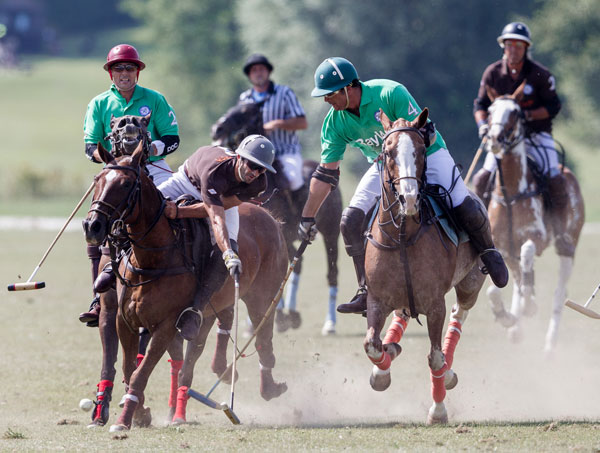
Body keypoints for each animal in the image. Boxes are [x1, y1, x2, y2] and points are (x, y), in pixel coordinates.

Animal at [83, 143, 290, 430]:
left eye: (125, 184)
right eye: (97, 180)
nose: (92, 226)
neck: (152, 257)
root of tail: (271, 218)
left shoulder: (166, 326)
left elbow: (140, 374)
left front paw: (124, 419)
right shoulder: (124, 321)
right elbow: (128, 369)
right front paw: (139, 413)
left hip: (262, 297)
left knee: (261, 340)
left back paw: (267, 388)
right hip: (211, 312)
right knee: (195, 354)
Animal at [211, 103, 342, 336]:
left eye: (245, 110)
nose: (217, 129)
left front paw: (277, 317)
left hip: (331, 233)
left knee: (331, 273)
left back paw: (329, 323)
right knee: (297, 265)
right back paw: (292, 315)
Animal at [364, 108, 486, 424]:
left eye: (420, 150)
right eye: (388, 152)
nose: (408, 199)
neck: (403, 235)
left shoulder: (434, 303)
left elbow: (435, 357)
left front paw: (438, 410)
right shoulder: (376, 299)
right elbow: (372, 345)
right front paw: (382, 369)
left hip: (470, 283)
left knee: (459, 314)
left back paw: (450, 371)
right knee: (403, 316)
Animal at [486, 86, 584, 352]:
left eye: (516, 112)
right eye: (490, 110)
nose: (495, 139)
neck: (511, 195)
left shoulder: (536, 238)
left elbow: (528, 255)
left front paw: (528, 306)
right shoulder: (504, 248)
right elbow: (506, 287)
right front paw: (509, 318)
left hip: (567, 247)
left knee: (560, 293)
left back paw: (549, 344)